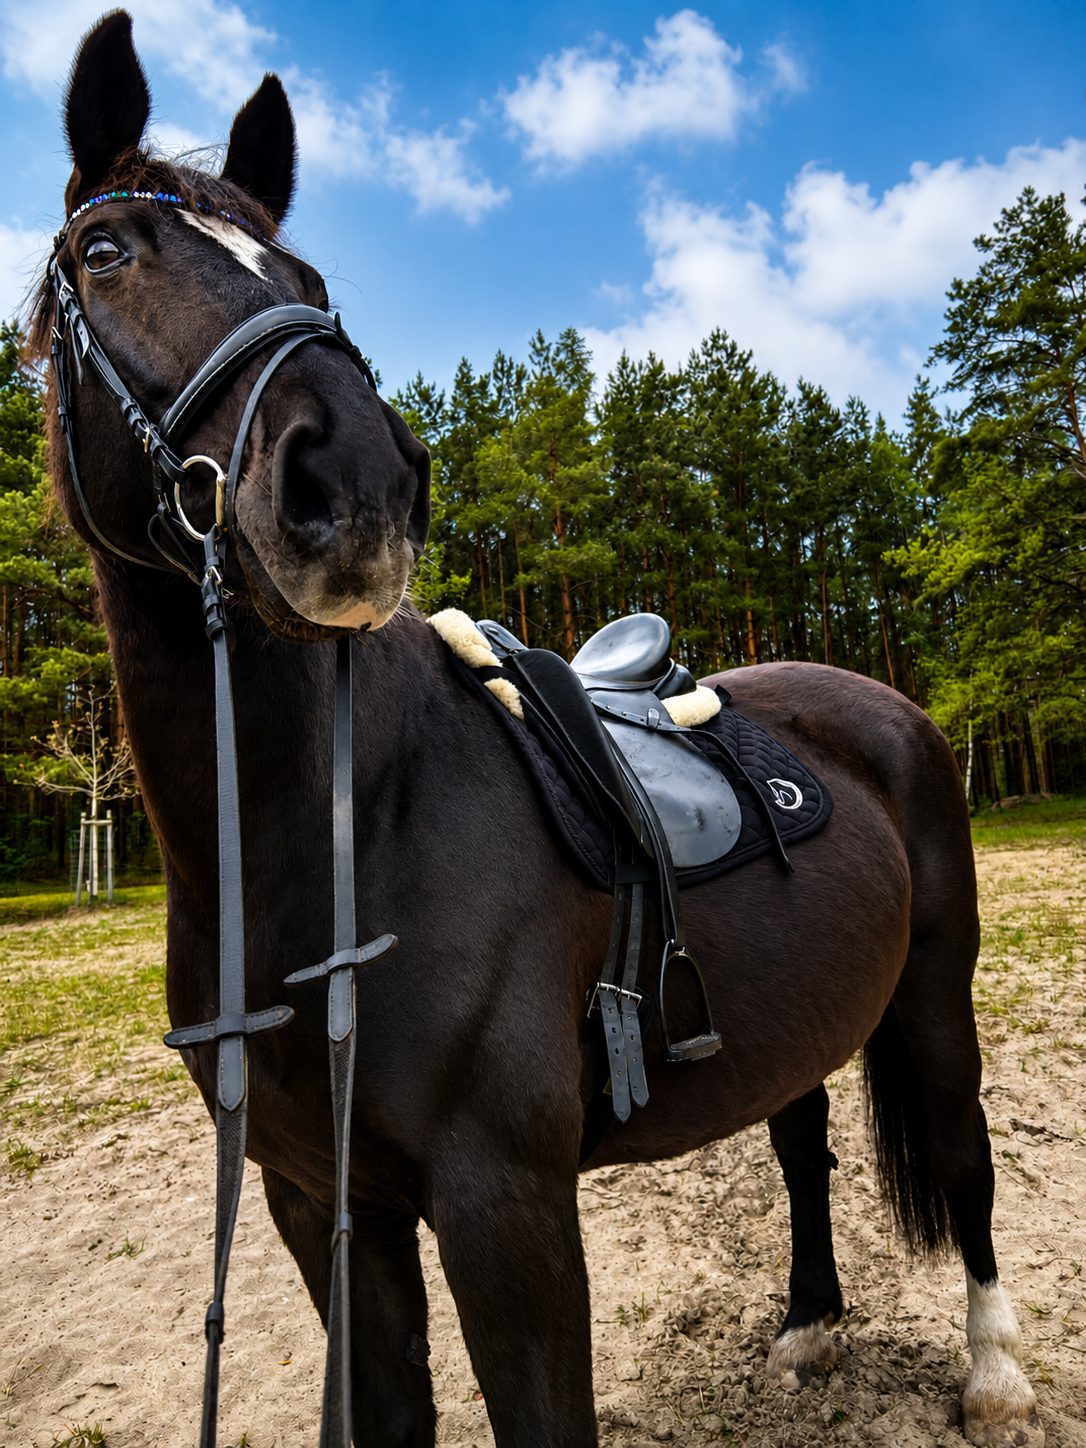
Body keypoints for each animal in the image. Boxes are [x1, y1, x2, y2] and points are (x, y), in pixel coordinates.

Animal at [34, 13, 1041, 1446]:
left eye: (307, 273)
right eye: (107, 253)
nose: (358, 481)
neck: (336, 836)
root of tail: (882, 703)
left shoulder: (505, 1205)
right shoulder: (320, 1202)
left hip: (935, 990)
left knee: (965, 1154)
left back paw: (994, 1366)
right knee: (801, 1142)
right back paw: (805, 1326)